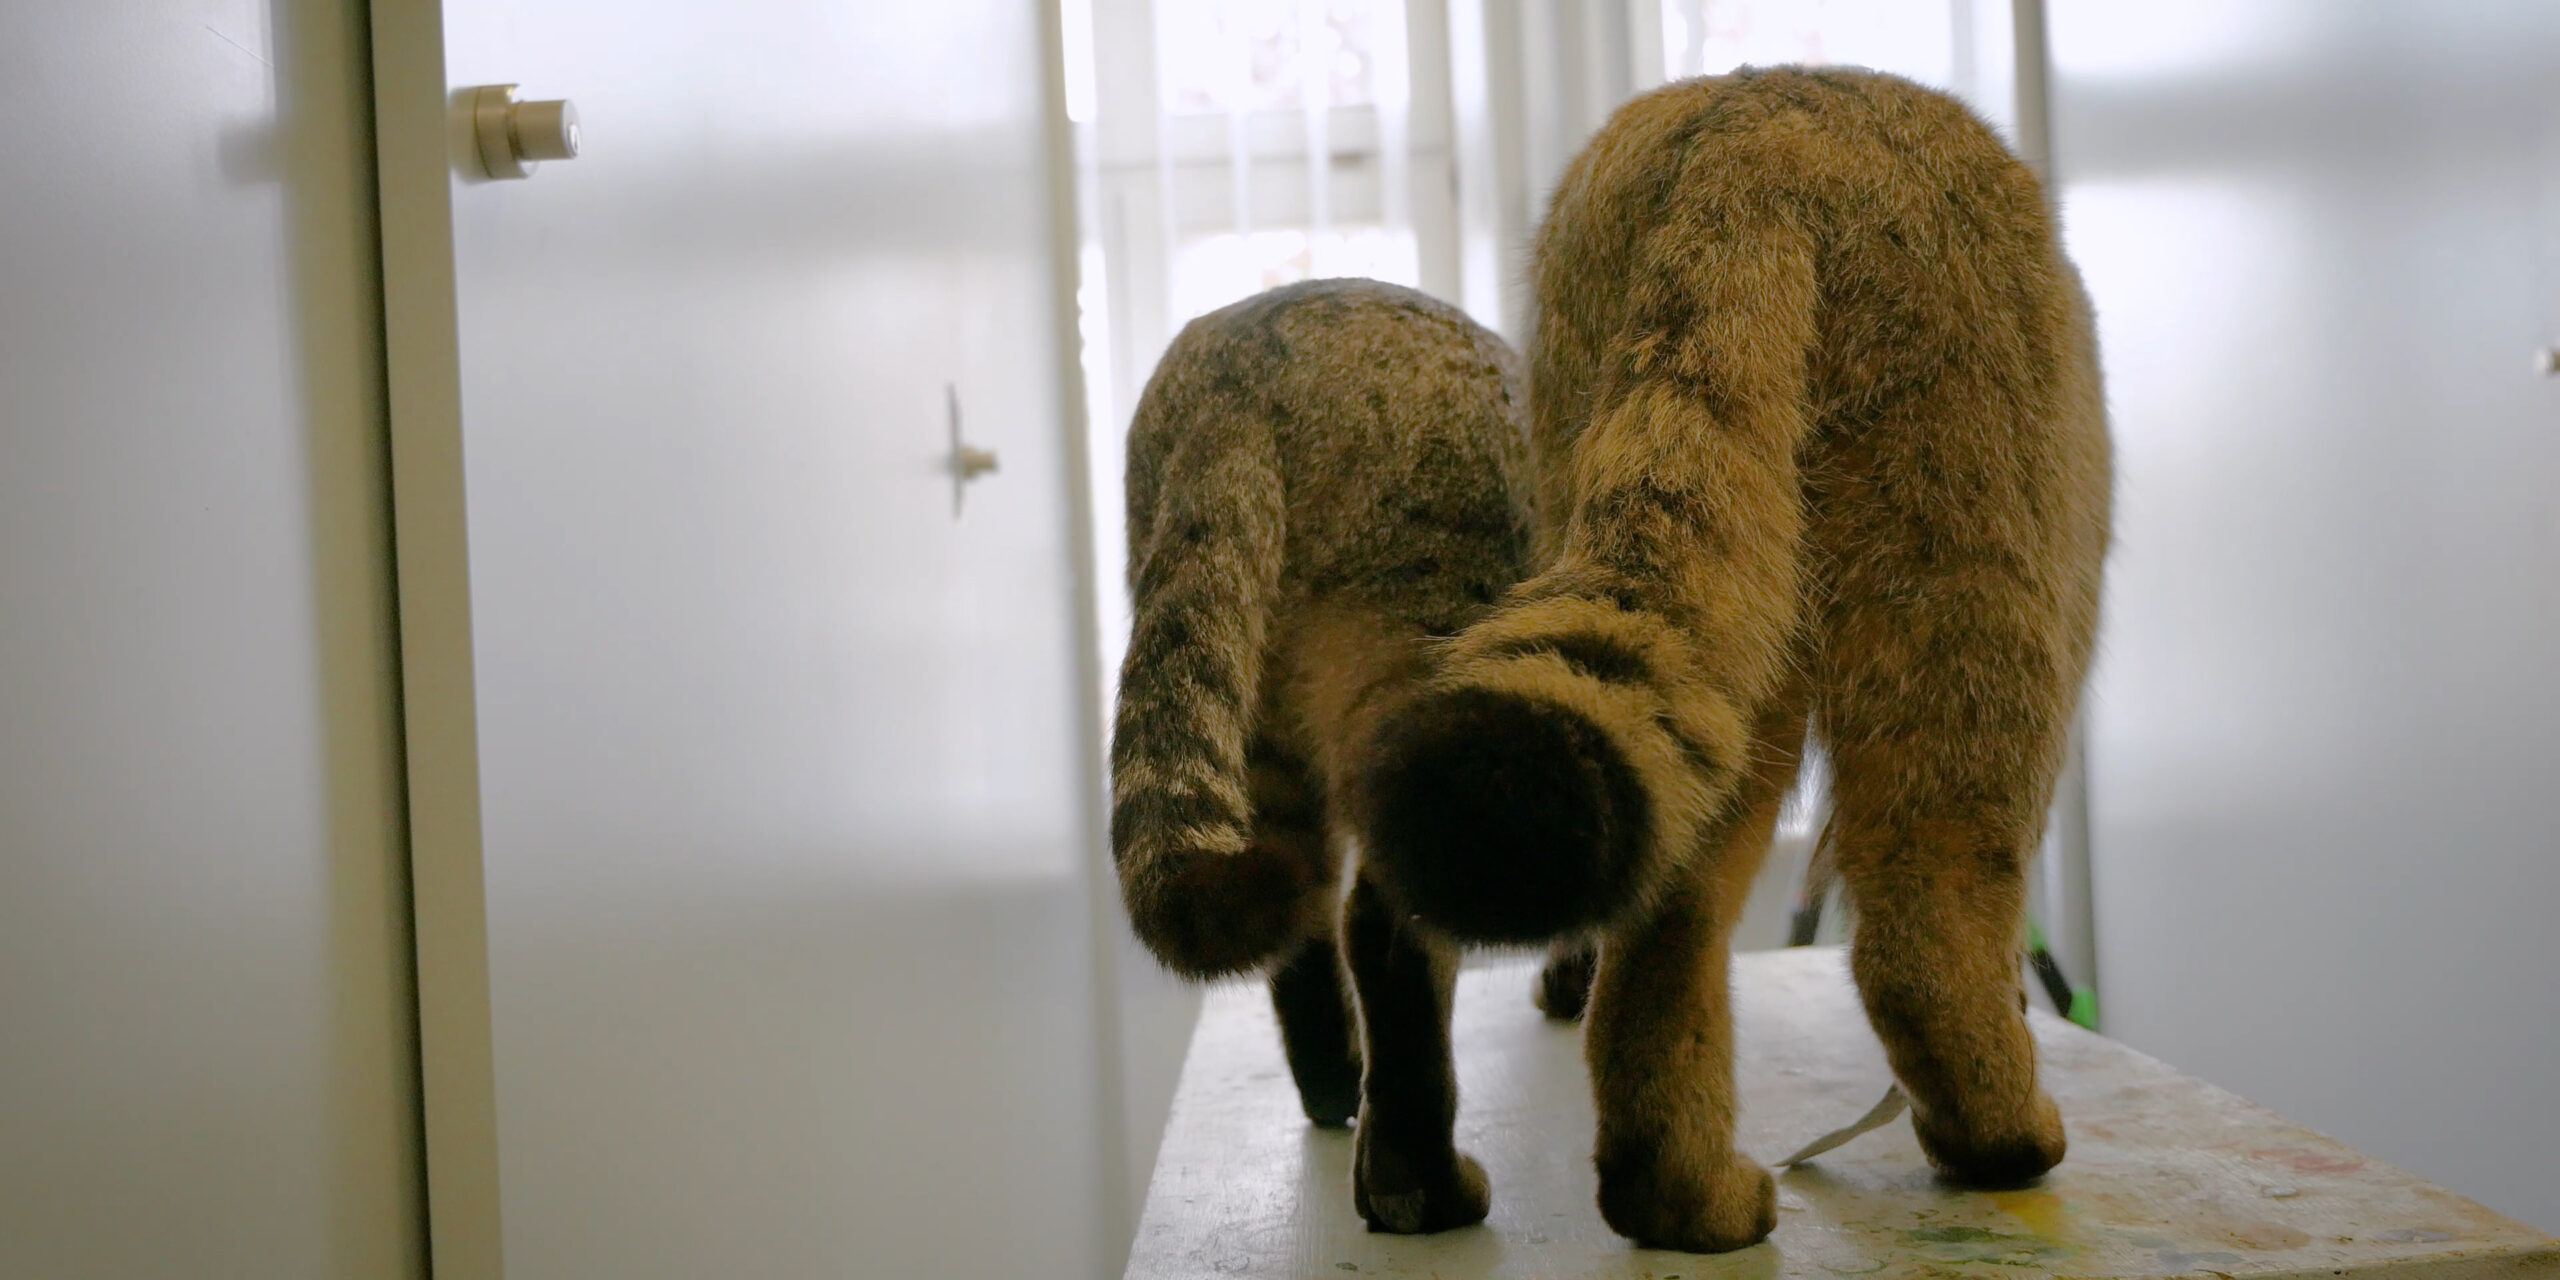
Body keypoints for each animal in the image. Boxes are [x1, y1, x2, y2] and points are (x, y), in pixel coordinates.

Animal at [1351, 67, 2109, 1249]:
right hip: (1966, 589)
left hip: (1718, 635)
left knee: (1666, 923)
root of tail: (1758, 121)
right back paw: (1998, 1137)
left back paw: (1675, 1196)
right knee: (1919, 924)